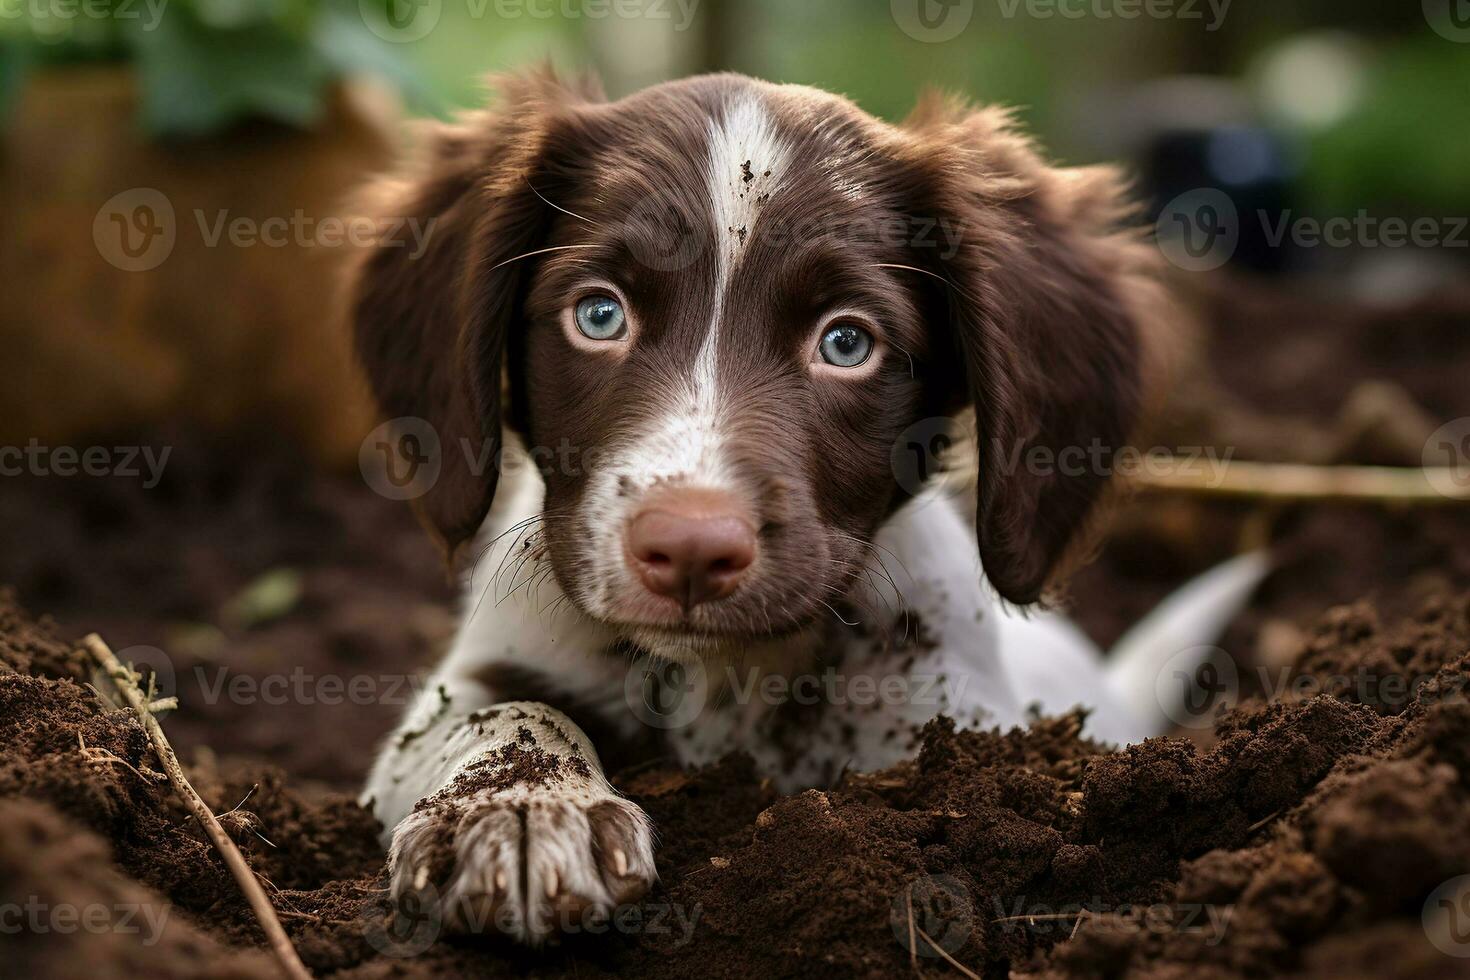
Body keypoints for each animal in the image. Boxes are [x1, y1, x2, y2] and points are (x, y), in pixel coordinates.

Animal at [349, 72, 1258, 946]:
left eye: (847, 342)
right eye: (599, 313)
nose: (689, 550)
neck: (724, 679)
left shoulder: (949, 716)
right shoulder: (465, 685)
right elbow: (503, 710)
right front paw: (522, 812)